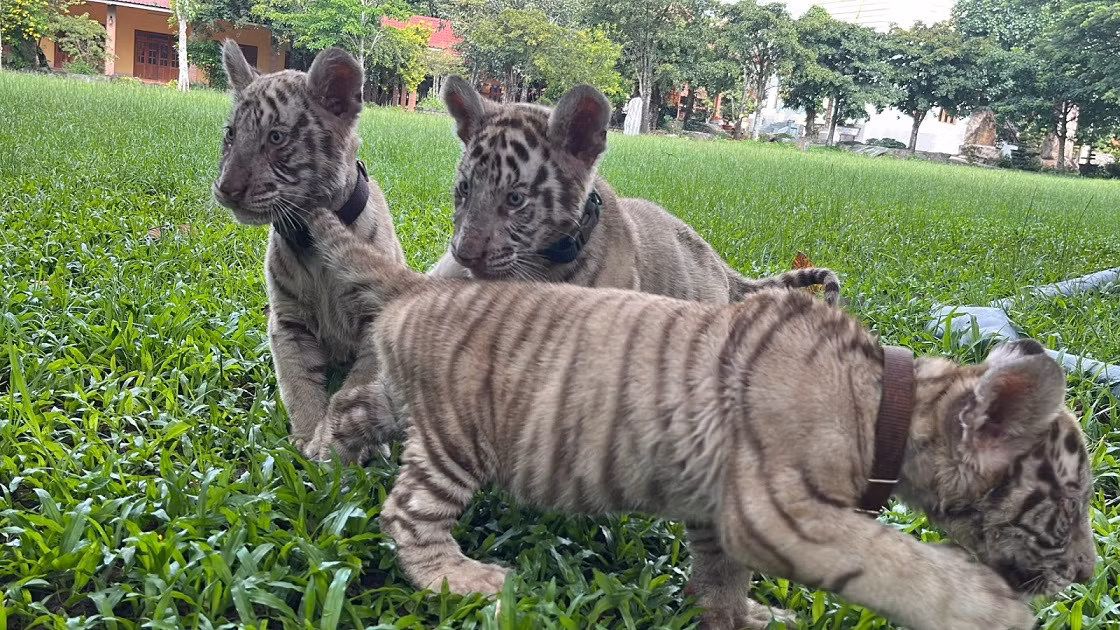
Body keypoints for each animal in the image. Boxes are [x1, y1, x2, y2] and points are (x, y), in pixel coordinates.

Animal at [211, 40, 405, 459]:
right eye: (231, 134)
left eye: (276, 138)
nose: (226, 189)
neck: (310, 237)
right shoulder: (288, 322)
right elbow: (297, 382)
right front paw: (306, 436)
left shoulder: (375, 322)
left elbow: (354, 387)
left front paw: (331, 443)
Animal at [302, 204, 1095, 630]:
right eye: (1072, 500)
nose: (1088, 574)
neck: (891, 403)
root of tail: (418, 287)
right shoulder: (780, 511)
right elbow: (896, 561)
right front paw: (987, 609)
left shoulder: (721, 516)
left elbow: (721, 580)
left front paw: (743, 617)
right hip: (459, 438)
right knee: (409, 514)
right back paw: (462, 579)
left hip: (397, 400)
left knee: (348, 410)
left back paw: (314, 465)